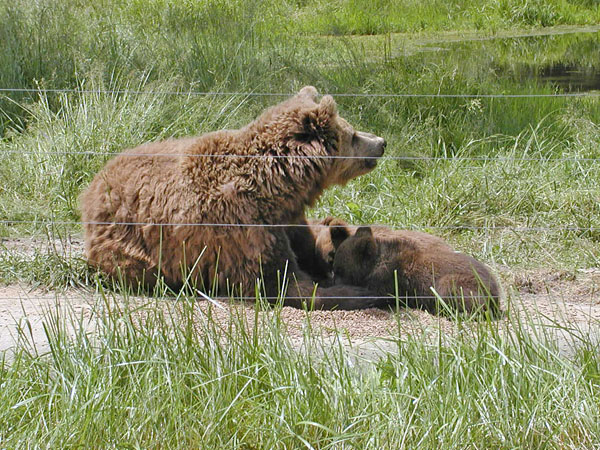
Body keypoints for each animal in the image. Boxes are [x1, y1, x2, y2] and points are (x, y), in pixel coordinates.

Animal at [79, 85, 386, 310]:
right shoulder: (243, 227)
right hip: (128, 246)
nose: (381, 142)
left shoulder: (287, 218)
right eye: (353, 135)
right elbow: (281, 283)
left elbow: (305, 249)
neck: (279, 185)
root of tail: (92, 186)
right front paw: (360, 291)